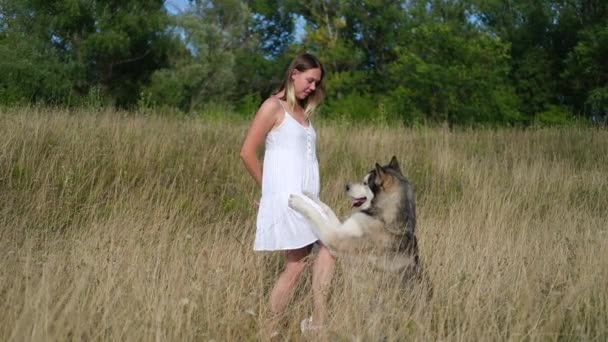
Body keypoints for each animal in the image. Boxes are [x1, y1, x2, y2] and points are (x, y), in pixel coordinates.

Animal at [288, 157, 428, 288]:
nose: (347, 186)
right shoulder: (341, 229)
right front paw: (310, 195)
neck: (381, 218)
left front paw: (298, 202)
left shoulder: (334, 239)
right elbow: (326, 208)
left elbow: (315, 215)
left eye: (365, 183)